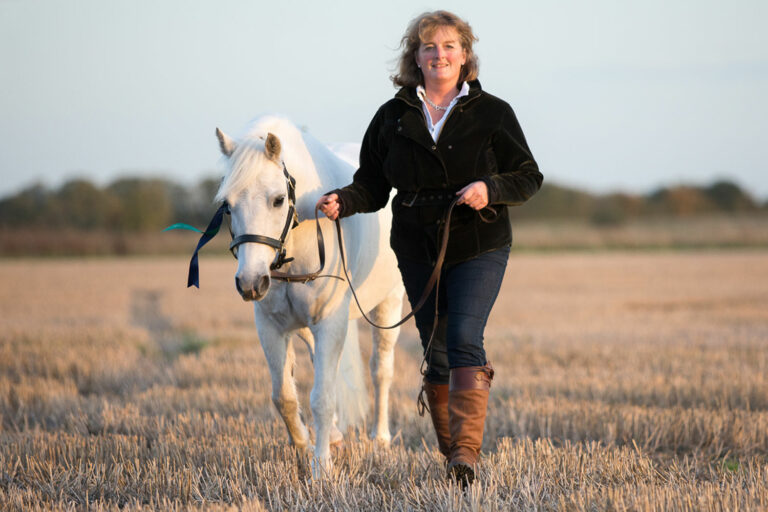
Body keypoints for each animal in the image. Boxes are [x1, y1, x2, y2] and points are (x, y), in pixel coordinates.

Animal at [210, 115, 402, 472]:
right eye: (227, 206)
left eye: (277, 199)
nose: (250, 283)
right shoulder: (271, 326)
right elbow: (283, 396)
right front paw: (303, 446)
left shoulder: (330, 322)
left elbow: (322, 397)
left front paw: (321, 467)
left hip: (389, 304)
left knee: (381, 370)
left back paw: (380, 437)